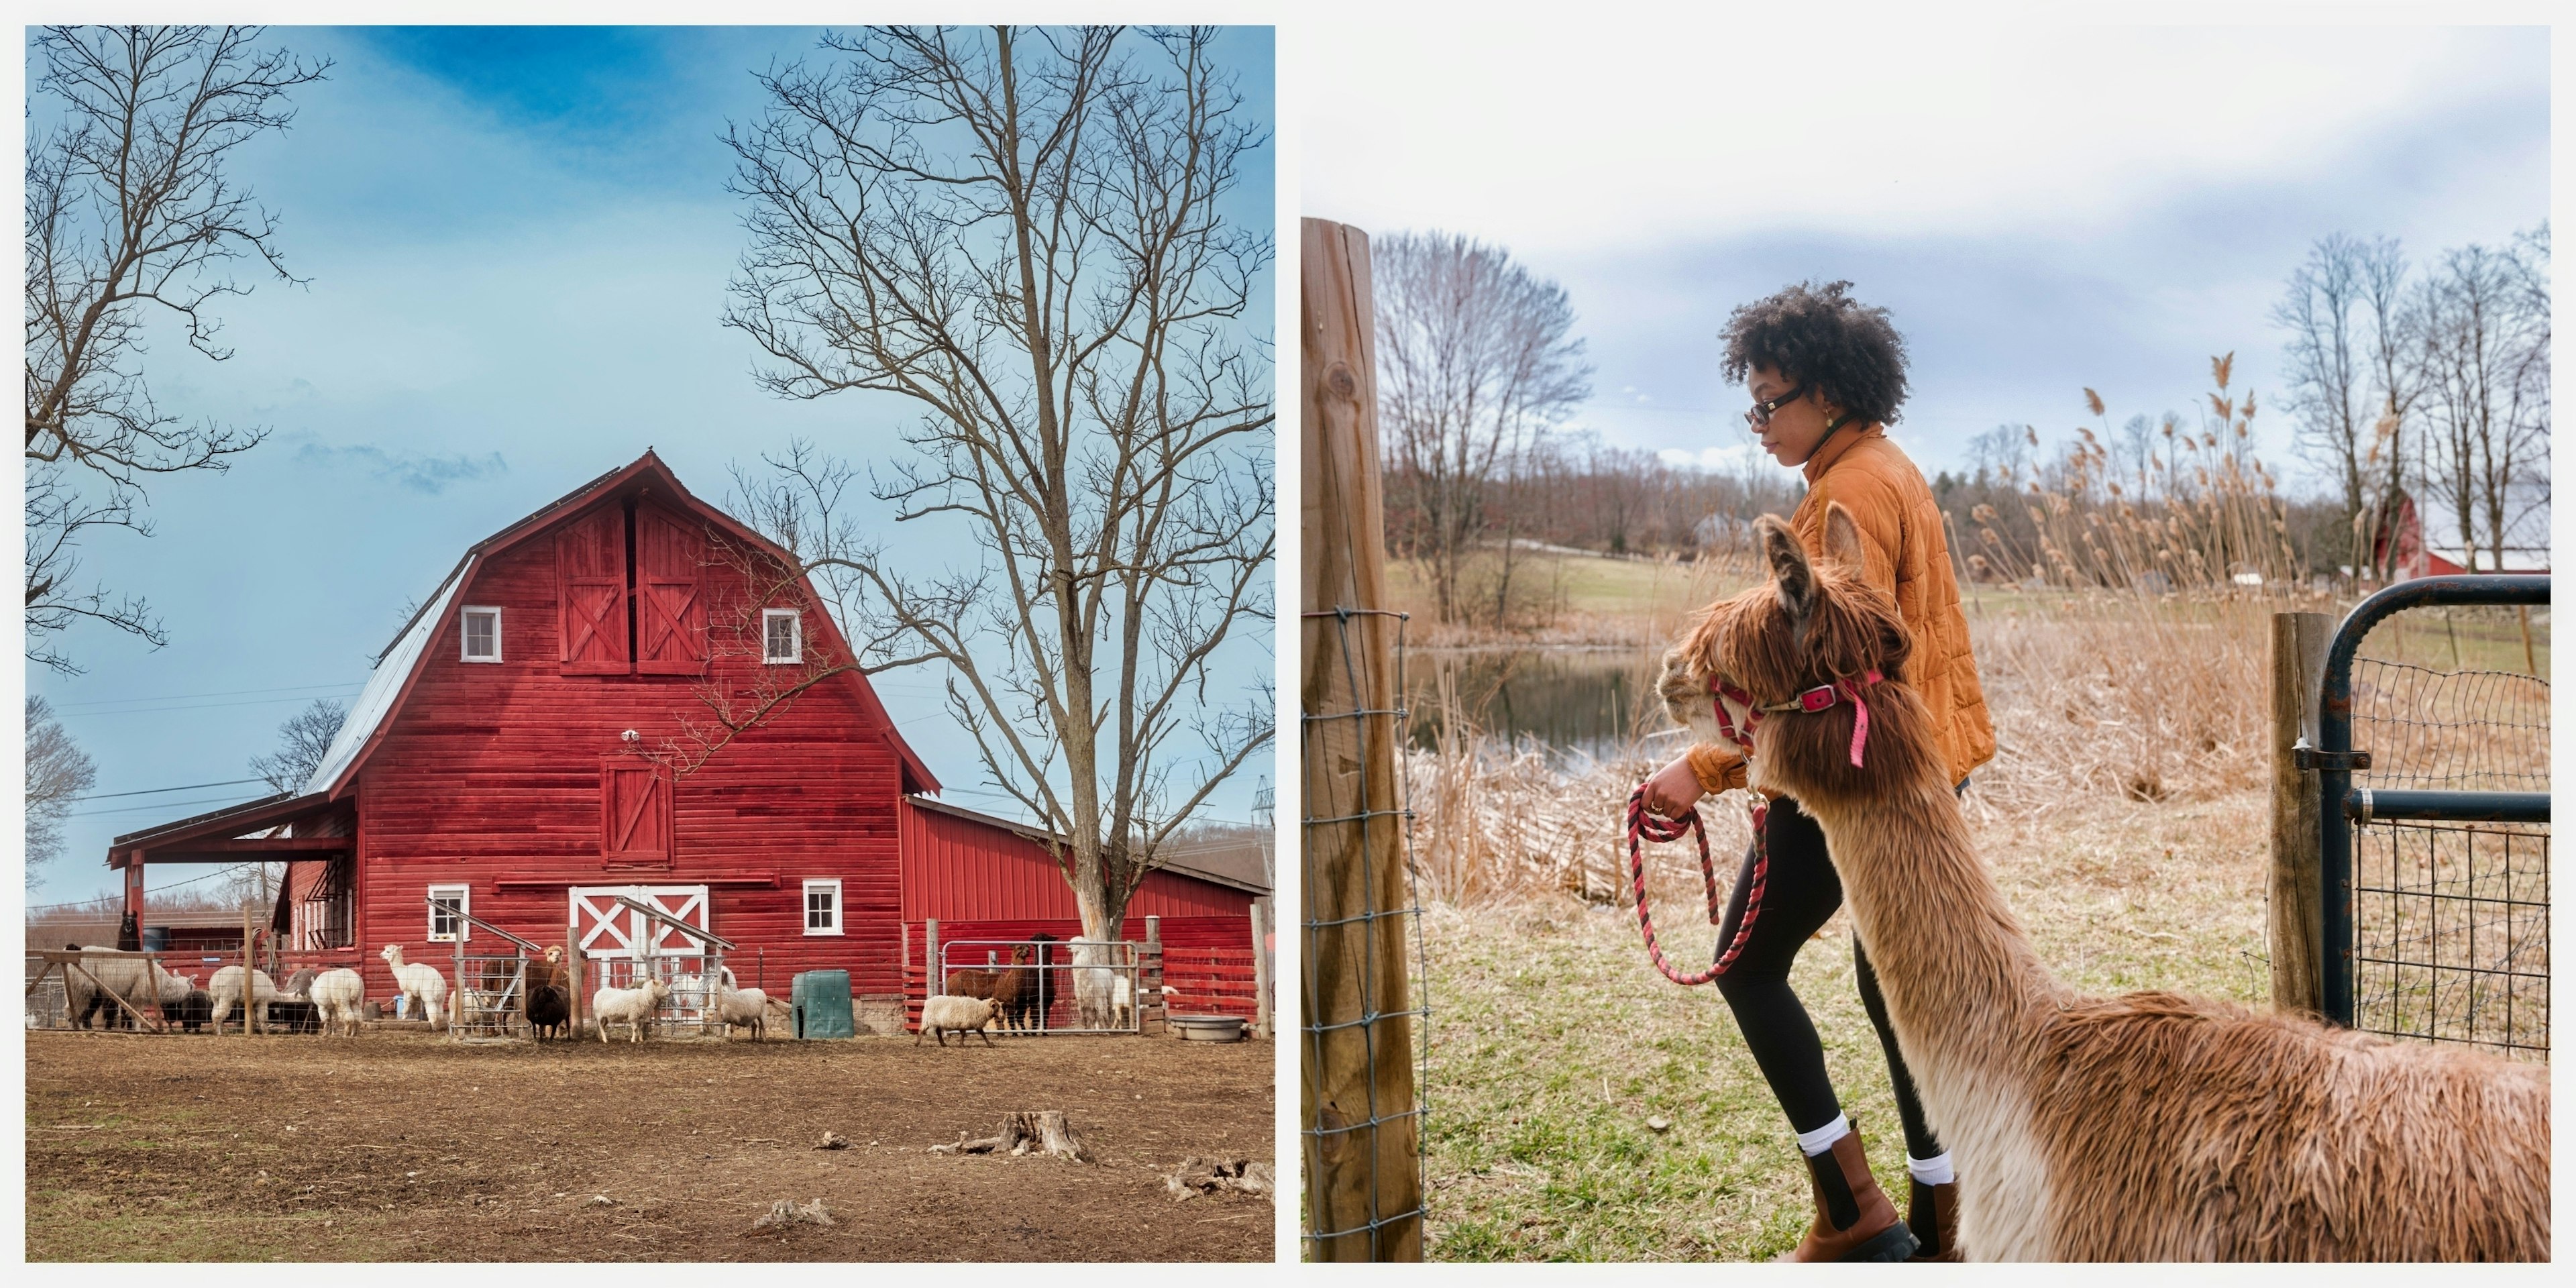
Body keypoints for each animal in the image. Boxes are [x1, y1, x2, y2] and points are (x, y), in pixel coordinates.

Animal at [376, 943, 448, 1030]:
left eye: (388, 951)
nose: (380, 955)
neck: (401, 971)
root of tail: (437, 982)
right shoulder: (416, 993)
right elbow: (415, 1007)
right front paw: (416, 1018)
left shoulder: (408, 990)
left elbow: (407, 1004)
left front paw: (404, 1018)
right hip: (441, 995)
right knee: (440, 1010)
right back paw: (438, 1025)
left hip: (428, 993)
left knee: (432, 1009)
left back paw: (433, 1026)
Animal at [912, 994, 999, 1046]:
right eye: (997, 1008)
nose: (1002, 1017)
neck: (980, 1009)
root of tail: (928, 1002)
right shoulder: (965, 1023)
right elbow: (964, 1034)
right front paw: (961, 1044)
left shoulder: (973, 1024)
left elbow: (983, 1034)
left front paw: (990, 1044)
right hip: (929, 1019)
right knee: (922, 1030)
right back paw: (917, 1043)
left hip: (938, 1021)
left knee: (938, 1032)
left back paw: (943, 1044)